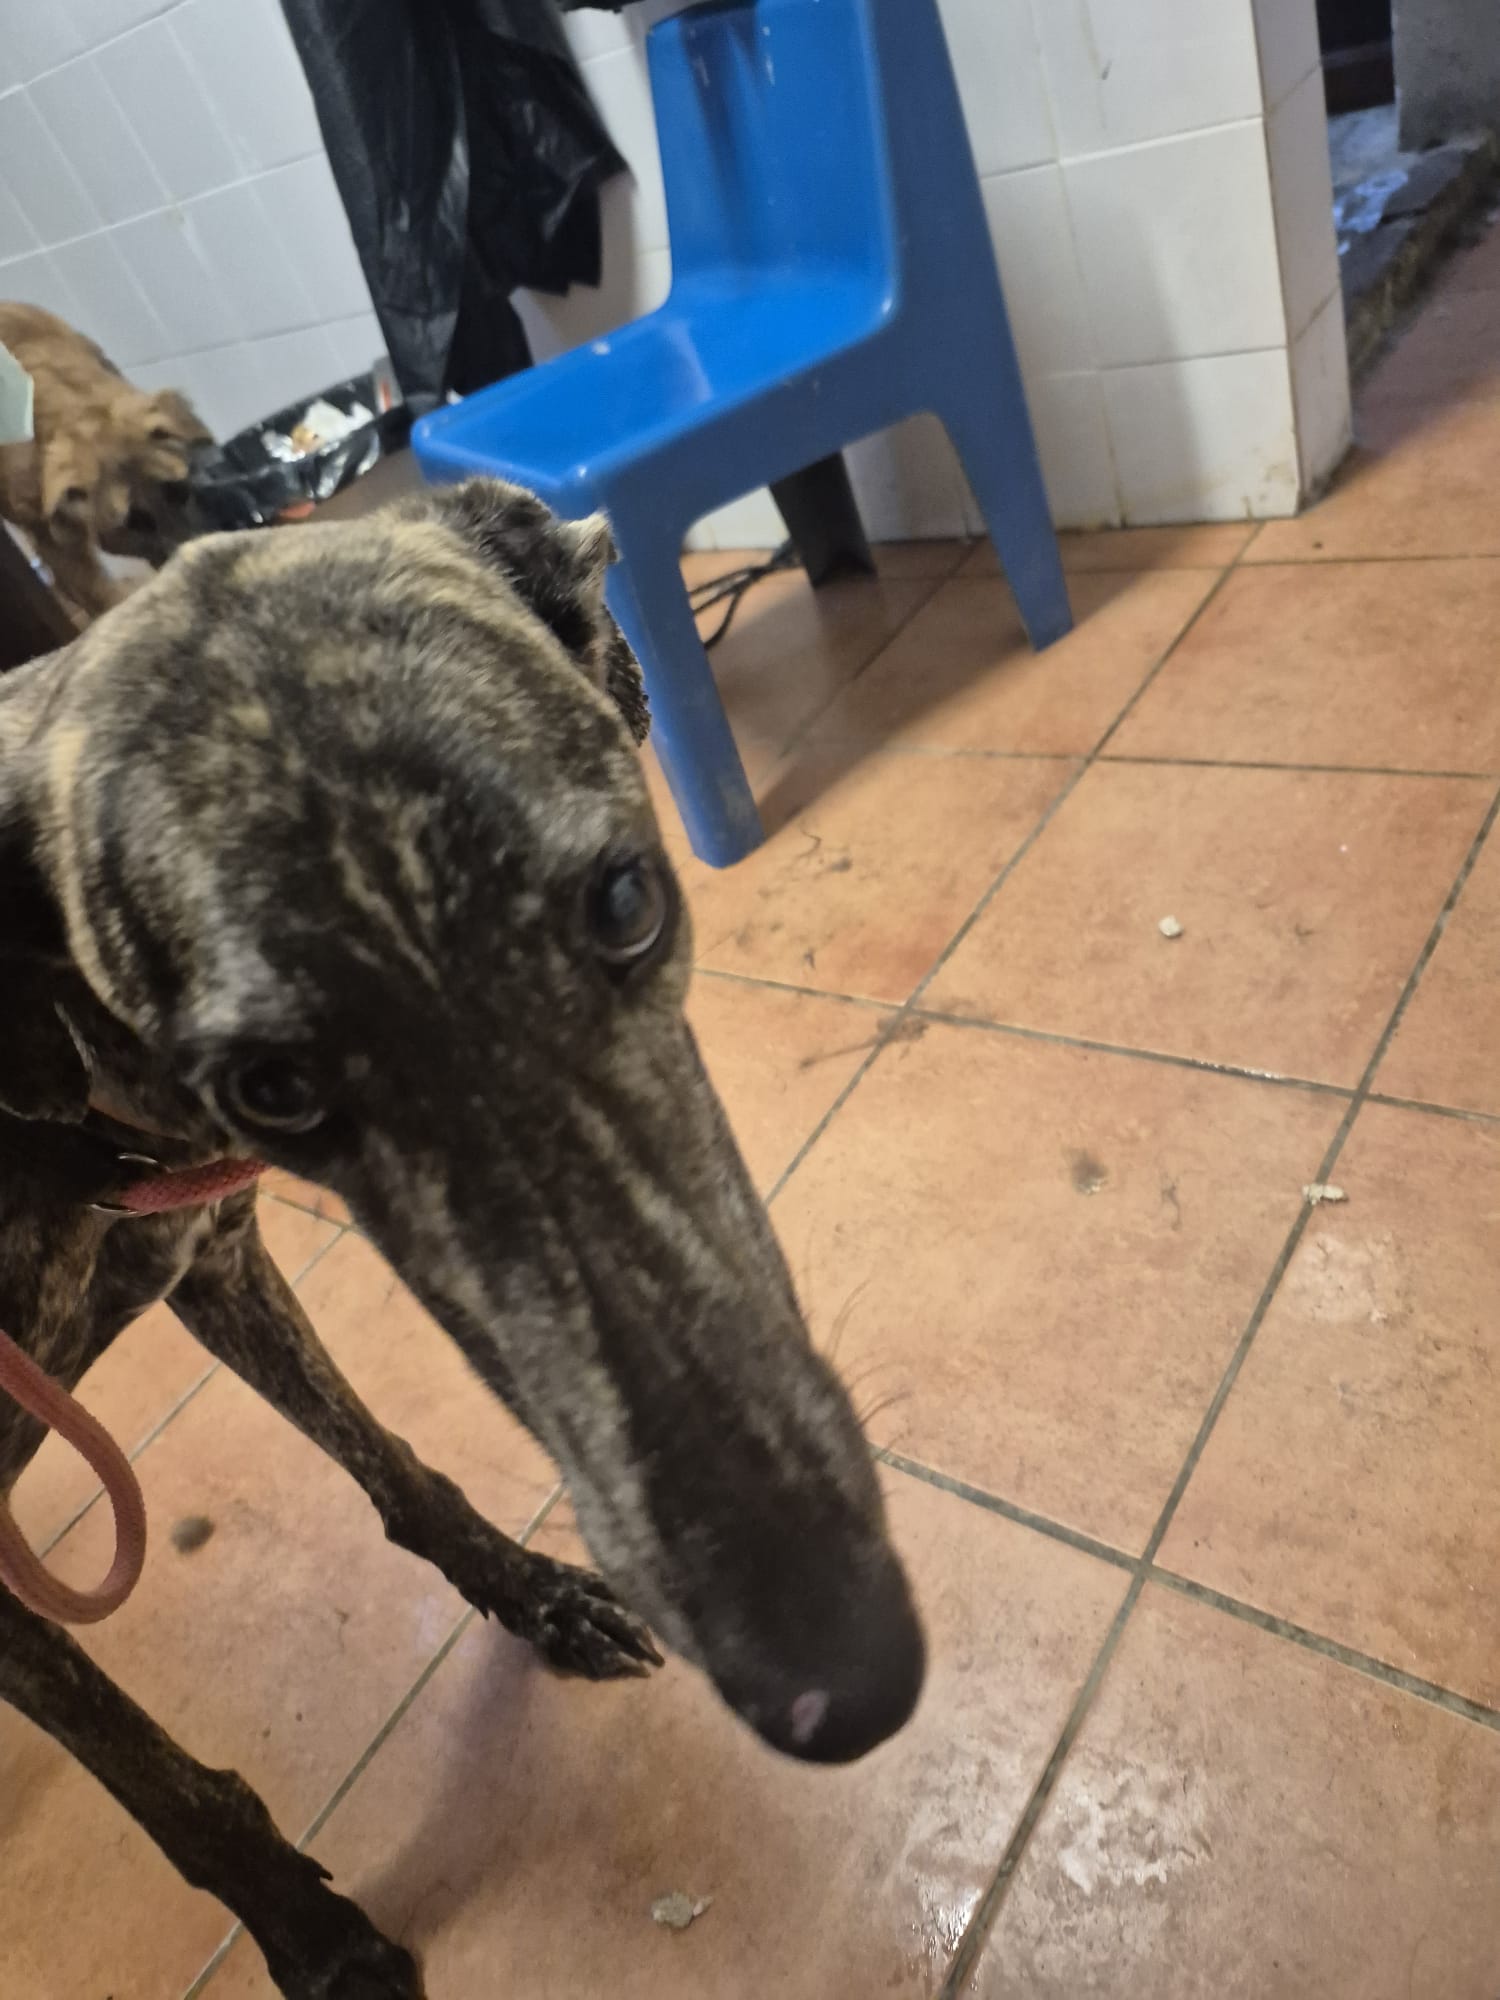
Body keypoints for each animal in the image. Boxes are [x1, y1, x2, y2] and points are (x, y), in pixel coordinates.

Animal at [0, 476, 925, 1998]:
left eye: (628, 898)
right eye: (275, 1086)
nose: (840, 1680)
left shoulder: (217, 1263)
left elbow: (393, 1461)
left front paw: (534, 1592)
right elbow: (161, 1783)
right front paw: (315, 1939)